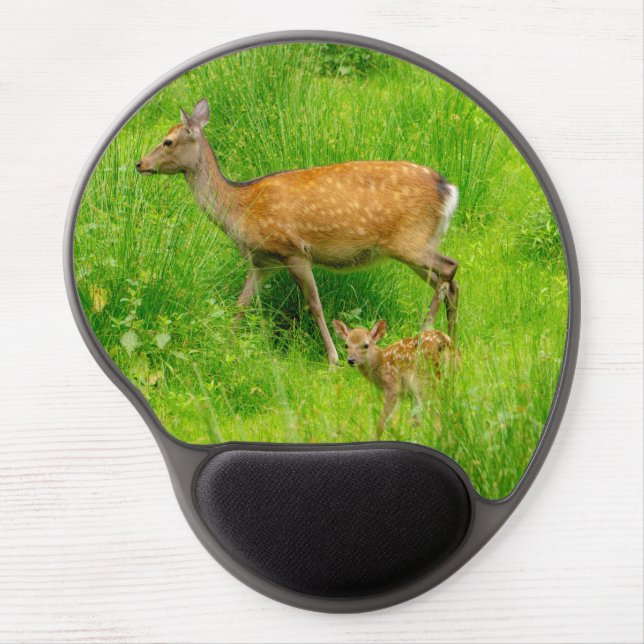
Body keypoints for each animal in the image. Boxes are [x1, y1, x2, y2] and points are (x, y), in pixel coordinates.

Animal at [136, 98, 460, 365]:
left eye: (168, 141)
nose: (140, 163)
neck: (239, 208)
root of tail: (449, 190)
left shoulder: (293, 250)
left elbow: (314, 304)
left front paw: (333, 358)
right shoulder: (261, 261)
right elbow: (241, 303)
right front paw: (227, 345)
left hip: (409, 241)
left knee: (450, 268)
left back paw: (425, 332)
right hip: (416, 244)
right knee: (447, 283)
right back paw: (451, 339)